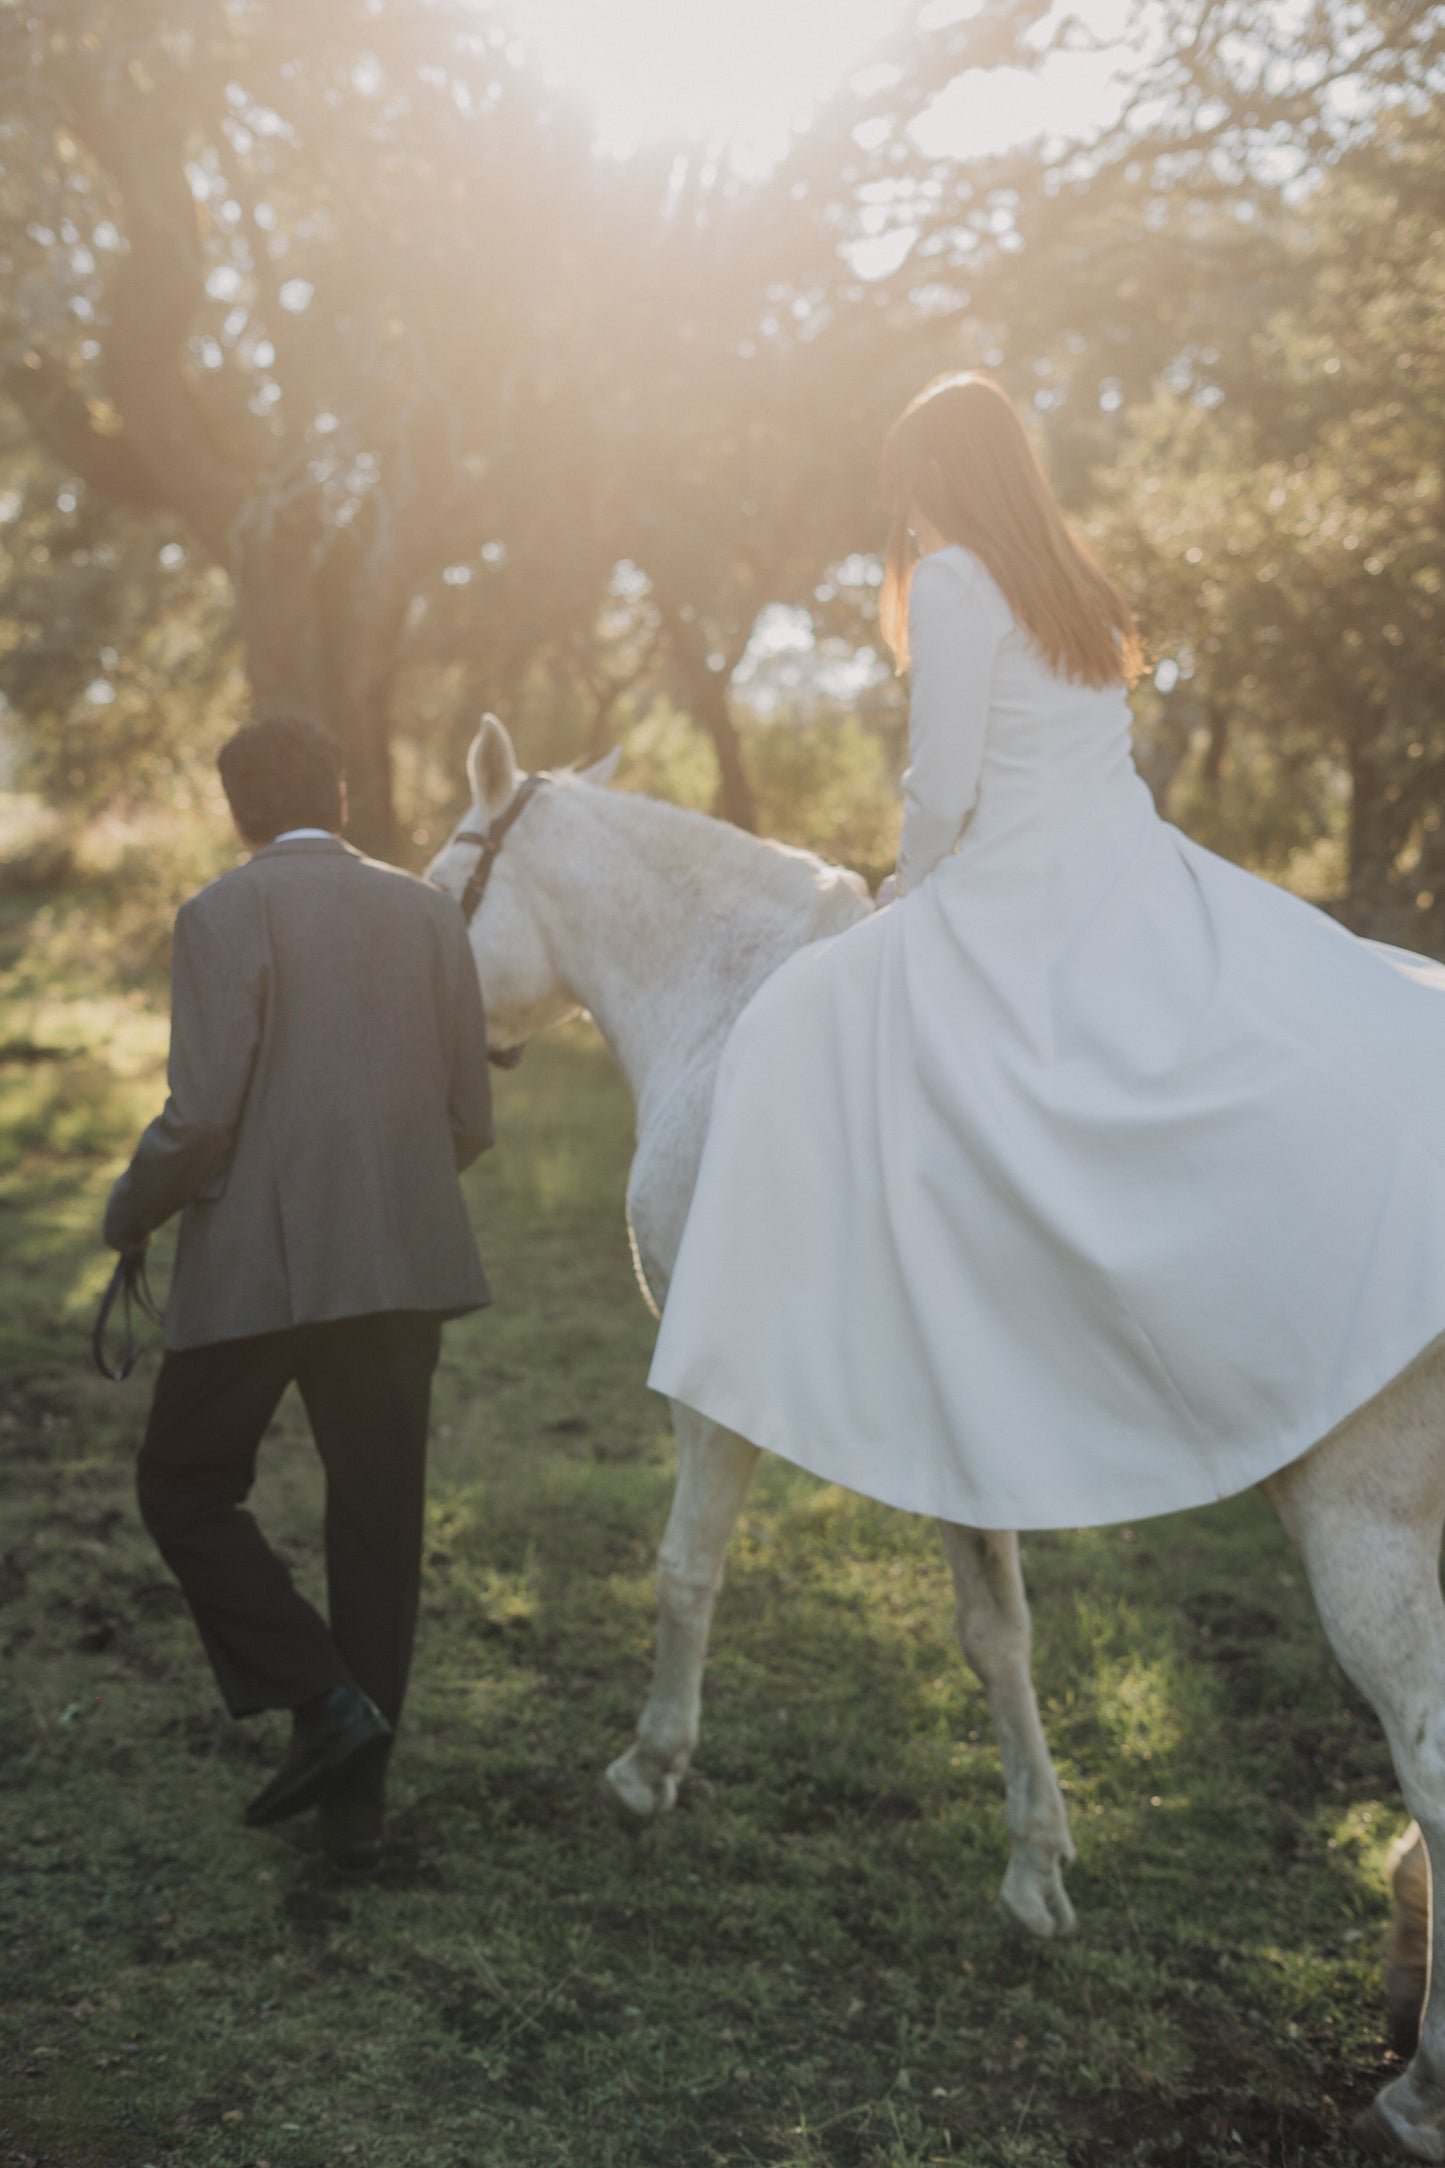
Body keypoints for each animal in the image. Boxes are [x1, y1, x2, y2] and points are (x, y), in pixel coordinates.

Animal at [435, 719, 1445, 2159]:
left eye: (441, 883)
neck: (734, 1003)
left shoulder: (714, 1390)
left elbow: (686, 1573)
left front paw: (648, 1767)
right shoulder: (966, 1434)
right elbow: (996, 1638)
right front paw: (1035, 1869)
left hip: (1362, 1521)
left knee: (1430, 1764)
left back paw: (1419, 2084)